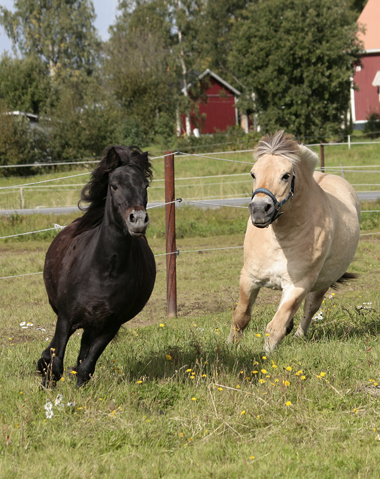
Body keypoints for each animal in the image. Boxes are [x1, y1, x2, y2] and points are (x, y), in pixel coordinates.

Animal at [37, 145, 156, 386]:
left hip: (93, 324)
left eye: (145, 186)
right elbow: (56, 360)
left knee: (83, 351)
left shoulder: (110, 325)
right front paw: (45, 382)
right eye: (114, 185)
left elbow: (85, 366)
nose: (138, 219)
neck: (105, 270)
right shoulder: (65, 318)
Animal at [227, 131, 360, 352]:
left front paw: (266, 355)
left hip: (323, 282)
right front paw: (229, 346)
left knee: (310, 307)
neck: (279, 241)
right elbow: (241, 317)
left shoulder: (298, 285)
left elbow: (276, 326)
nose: (259, 210)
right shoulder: (249, 278)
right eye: (253, 174)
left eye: (285, 175)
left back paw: (298, 335)